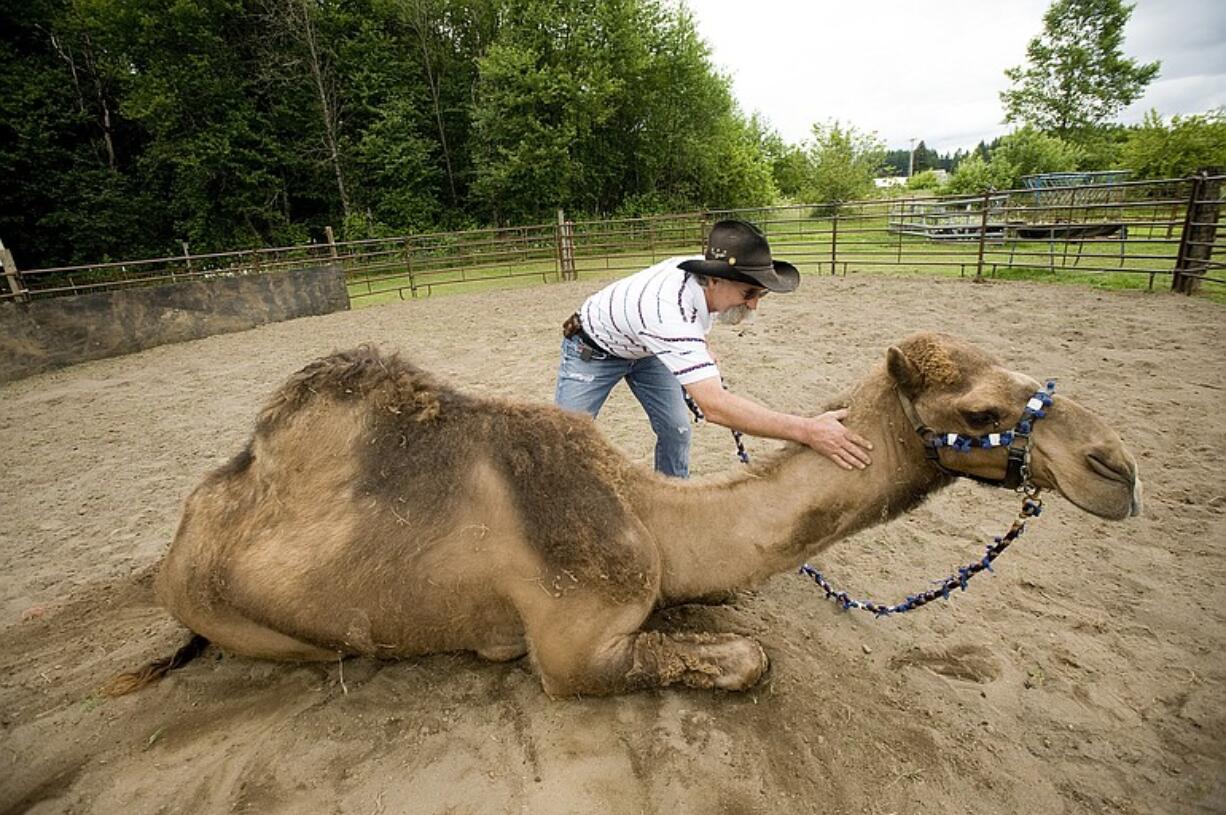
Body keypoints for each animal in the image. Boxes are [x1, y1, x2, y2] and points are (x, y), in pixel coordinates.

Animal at [107, 333, 1137, 696]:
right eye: (982, 409)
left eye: (1017, 370)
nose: (1117, 468)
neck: (650, 518)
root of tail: (180, 540)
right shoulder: (575, 648)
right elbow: (749, 659)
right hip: (248, 620)